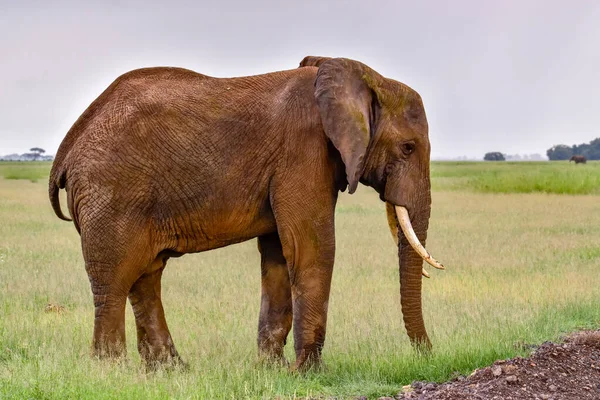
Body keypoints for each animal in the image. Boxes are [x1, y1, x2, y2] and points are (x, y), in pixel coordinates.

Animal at [49, 55, 446, 368]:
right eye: (408, 147)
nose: (428, 354)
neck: (360, 77)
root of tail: (68, 145)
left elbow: (278, 254)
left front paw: (272, 369)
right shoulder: (303, 152)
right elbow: (311, 247)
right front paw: (307, 373)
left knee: (146, 276)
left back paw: (171, 371)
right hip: (112, 191)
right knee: (115, 280)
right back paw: (112, 370)